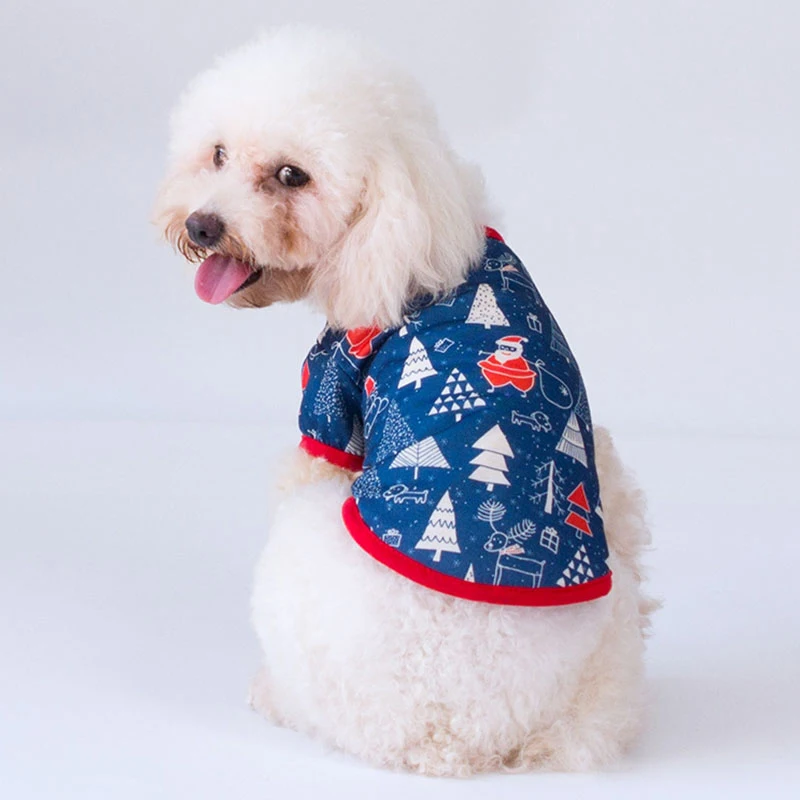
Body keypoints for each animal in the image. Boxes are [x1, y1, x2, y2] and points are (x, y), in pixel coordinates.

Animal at [154, 27, 654, 776]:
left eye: (292, 176)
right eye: (217, 154)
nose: (203, 225)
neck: (415, 230)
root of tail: (463, 739)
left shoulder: (329, 398)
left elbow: (311, 454)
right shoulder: (611, 475)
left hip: (300, 566)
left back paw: (273, 693)